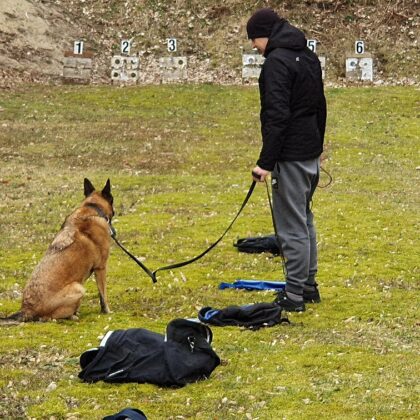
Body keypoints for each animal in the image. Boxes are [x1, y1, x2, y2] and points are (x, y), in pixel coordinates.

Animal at [4, 178, 115, 322]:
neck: (92, 207)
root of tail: (26, 309)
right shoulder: (101, 268)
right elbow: (103, 295)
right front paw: (106, 311)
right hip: (79, 288)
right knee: (49, 318)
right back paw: (72, 315)